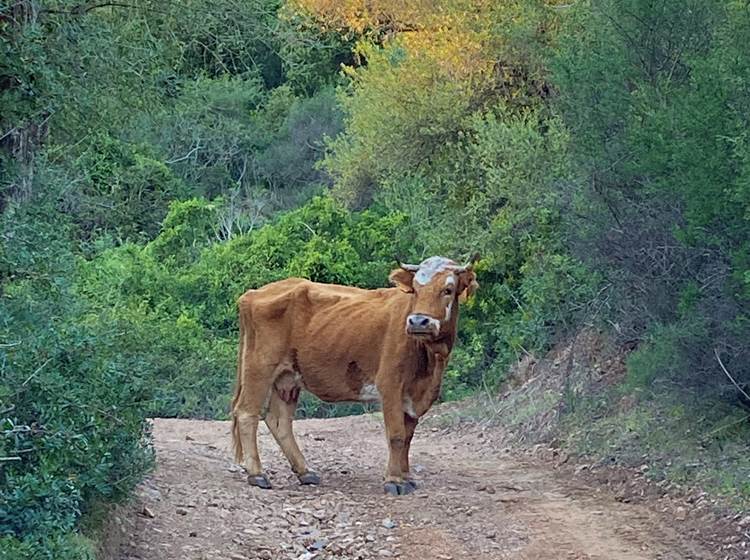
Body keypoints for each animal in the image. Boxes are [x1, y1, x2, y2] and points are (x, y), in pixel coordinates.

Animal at [231, 256, 482, 496]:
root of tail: (253, 293)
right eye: (416, 289)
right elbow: (397, 435)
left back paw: (305, 471)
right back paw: (257, 474)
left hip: (288, 377)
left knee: (279, 420)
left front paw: (407, 477)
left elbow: (408, 437)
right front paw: (394, 481)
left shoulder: (415, 395)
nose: (418, 321)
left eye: (447, 289)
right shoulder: (390, 384)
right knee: (246, 413)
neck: (430, 361)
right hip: (259, 368)